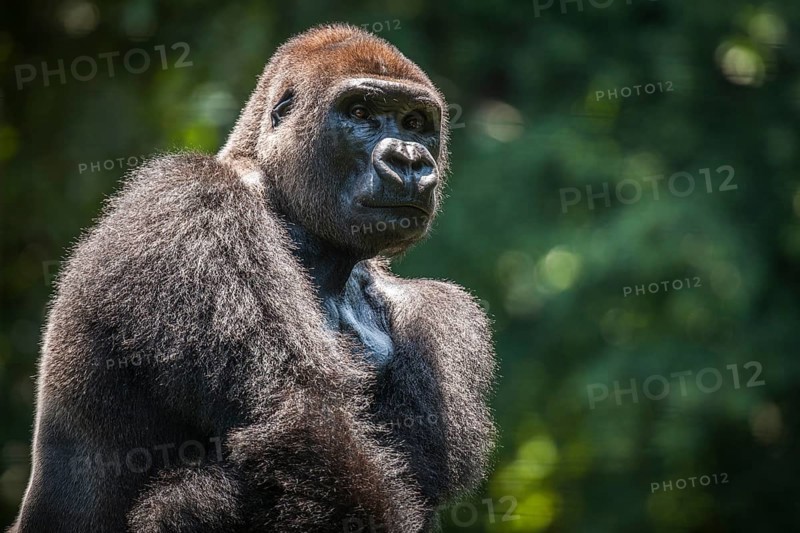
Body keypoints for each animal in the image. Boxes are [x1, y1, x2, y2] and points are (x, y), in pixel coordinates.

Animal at [10, 24, 496, 533]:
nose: (408, 159)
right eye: (360, 113)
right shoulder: (197, 205)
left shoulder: (429, 310)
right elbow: (298, 419)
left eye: (415, 123)